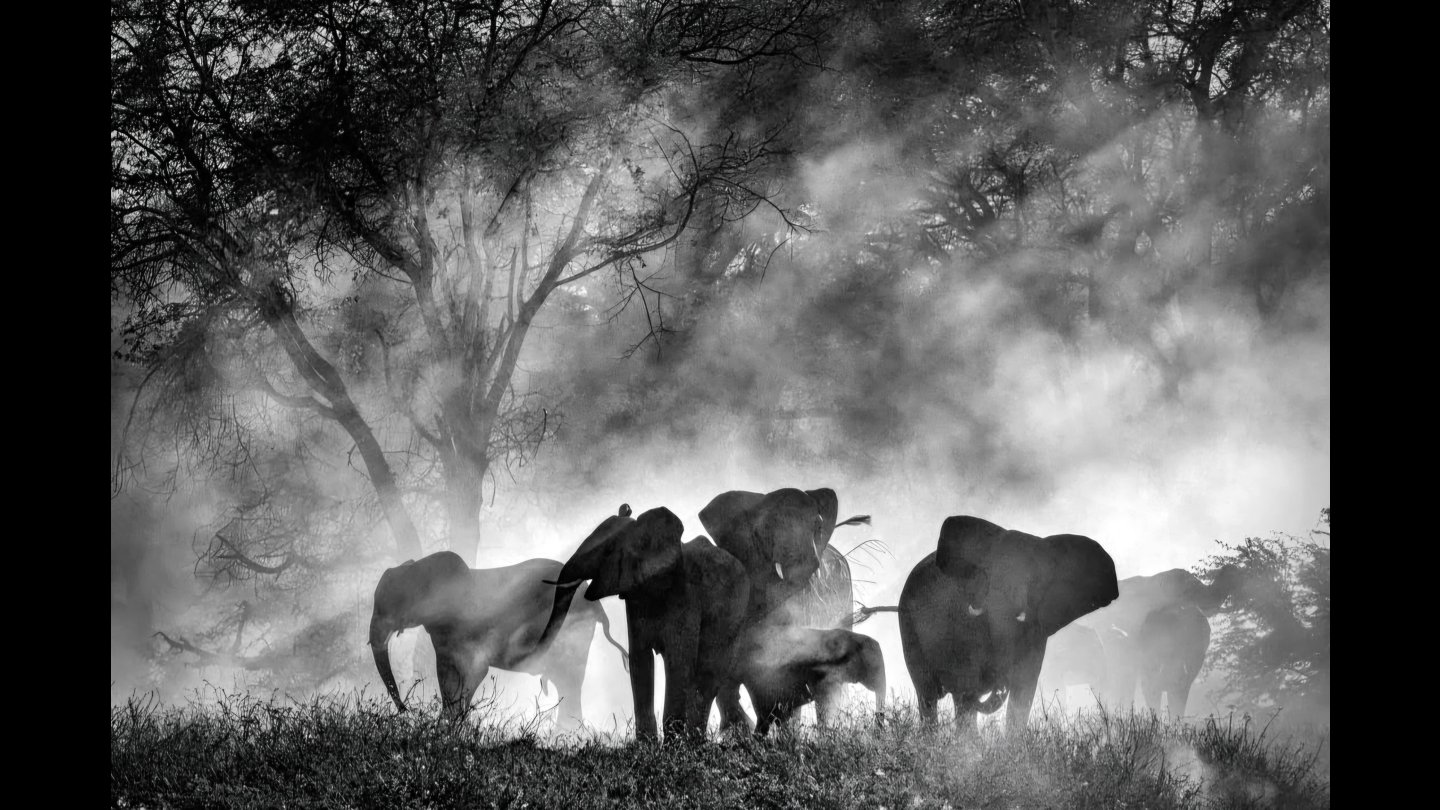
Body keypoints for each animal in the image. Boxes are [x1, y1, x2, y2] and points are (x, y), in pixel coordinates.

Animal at [368, 550, 629, 722]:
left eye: (394, 603)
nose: (406, 711)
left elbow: (472, 672)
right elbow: (448, 676)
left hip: (572, 632)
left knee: (570, 681)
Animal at [536, 505, 750, 742]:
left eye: (609, 550)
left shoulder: (686, 596)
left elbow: (678, 661)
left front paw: (672, 746)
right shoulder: (635, 597)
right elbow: (640, 660)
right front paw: (647, 744)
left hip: (734, 618)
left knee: (708, 675)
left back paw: (695, 742)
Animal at [897, 515, 1119, 732]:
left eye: (1035, 581)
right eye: (989, 576)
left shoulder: (1036, 630)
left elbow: (1024, 687)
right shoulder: (961, 622)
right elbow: (966, 685)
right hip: (909, 628)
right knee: (929, 695)